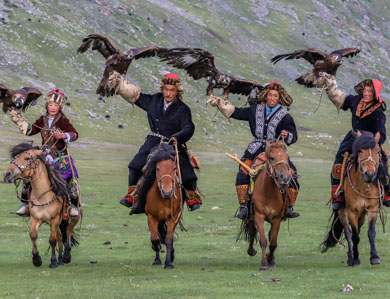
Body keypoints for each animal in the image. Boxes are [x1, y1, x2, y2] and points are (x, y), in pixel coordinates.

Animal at [245, 141, 290, 272]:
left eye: (287, 157)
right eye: (272, 157)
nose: (285, 178)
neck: (269, 192)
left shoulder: (277, 219)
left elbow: (273, 243)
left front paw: (270, 260)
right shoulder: (259, 216)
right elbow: (263, 240)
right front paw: (264, 263)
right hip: (251, 216)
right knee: (252, 231)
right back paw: (251, 251)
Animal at [322, 131, 384, 268]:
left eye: (378, 151)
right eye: (360, 151)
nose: (369, 175)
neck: (363, 186)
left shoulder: (372, 209)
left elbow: (371, 233)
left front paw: (375, 257)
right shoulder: (352, 212)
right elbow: (354, 236)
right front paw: (355, 260)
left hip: (361, 215)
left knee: (358, 230)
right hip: (343, 212)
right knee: (348, 232)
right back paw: (350, 257)